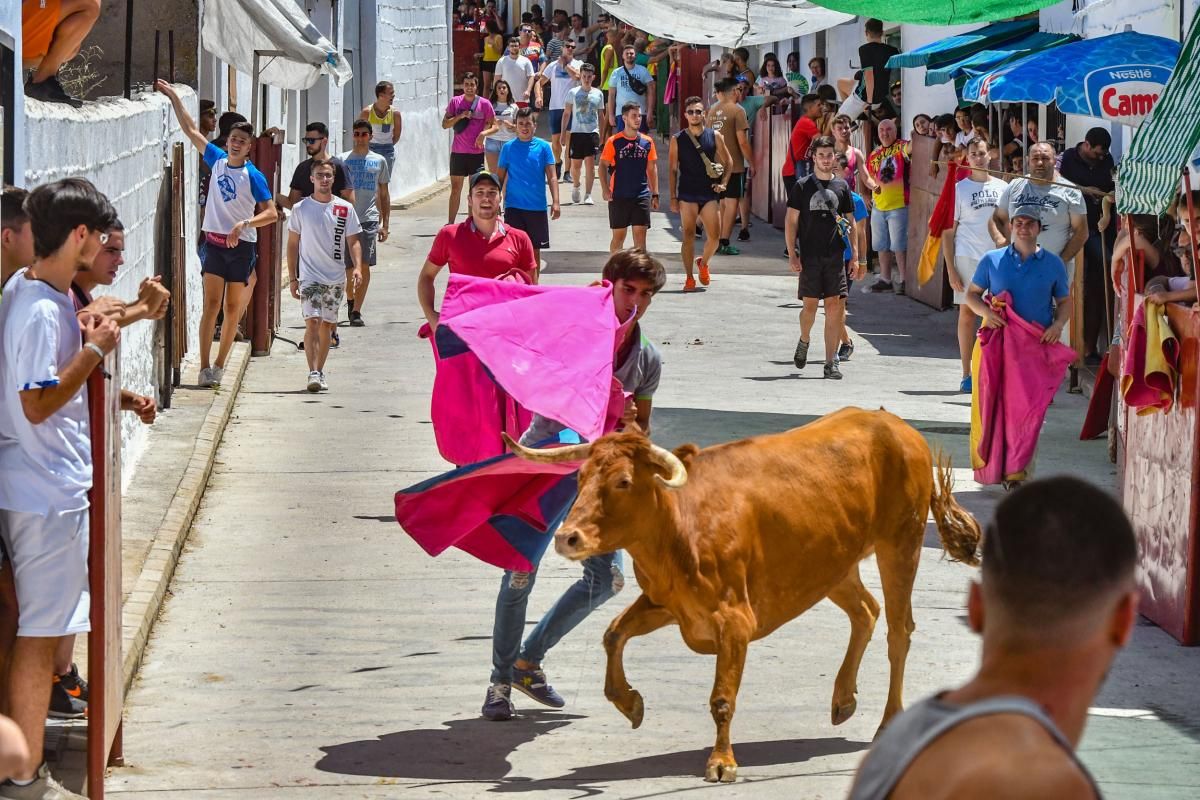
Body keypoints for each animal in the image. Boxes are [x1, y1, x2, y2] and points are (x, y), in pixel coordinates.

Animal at [501, 410, 979, 786]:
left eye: (622, 481)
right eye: (581, 478)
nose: (567, 537)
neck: (682, 524)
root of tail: (896, 426)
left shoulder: (735, 621)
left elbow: (722, 698)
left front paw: (722, 762)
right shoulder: (668, 604)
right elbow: (614, 634)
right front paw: (628, 701)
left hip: (901, 544)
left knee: (899, 631)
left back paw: (887, 723)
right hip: (832, 564)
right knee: (866, 611)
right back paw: (843, 698)